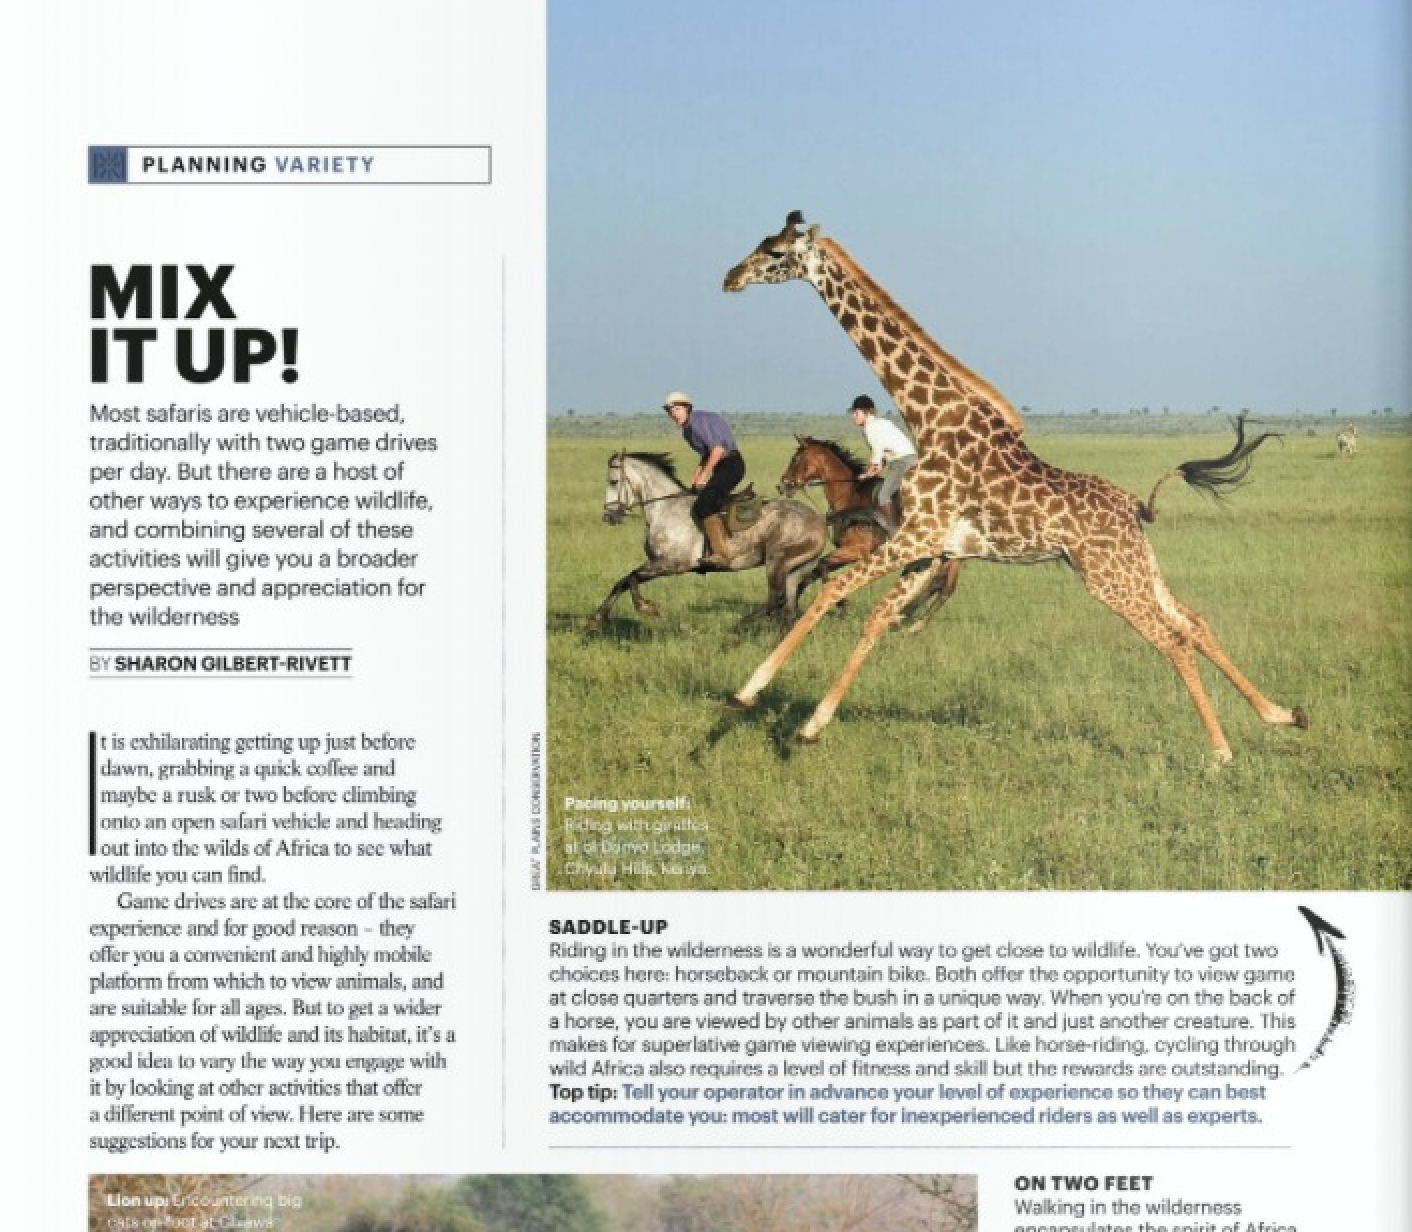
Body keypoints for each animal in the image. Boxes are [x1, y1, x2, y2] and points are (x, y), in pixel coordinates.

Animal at [721, 211, 1308, 761]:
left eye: (775, 251)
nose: (730, 277)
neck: (929, 417)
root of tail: (1135, 507)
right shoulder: (929, 548)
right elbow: (877, 615)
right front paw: (811, 723)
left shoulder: (916, 537)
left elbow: (834, 589)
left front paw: (749, 693)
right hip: (1133, 567)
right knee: (1194, 621)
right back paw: (1282, 714)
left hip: (1107, 577)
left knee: (1173, 639)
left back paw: (1221, 752)